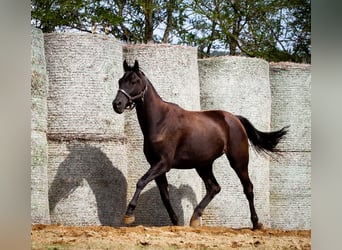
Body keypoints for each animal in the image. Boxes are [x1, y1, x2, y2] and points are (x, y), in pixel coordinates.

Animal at [113, 60, 288, 229]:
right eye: (120, 80)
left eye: (134, 81)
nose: (117, 104)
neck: (159, 121)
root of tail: (235, 119)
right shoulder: (155, 164)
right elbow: (164, 195)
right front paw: (176, 221)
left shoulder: (163, 163)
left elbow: (141, 182)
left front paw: (128, 215)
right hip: (203, 165)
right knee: (214, 188)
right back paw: (195, 218)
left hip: (238, 161)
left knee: (248, 188)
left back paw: (256, 223)